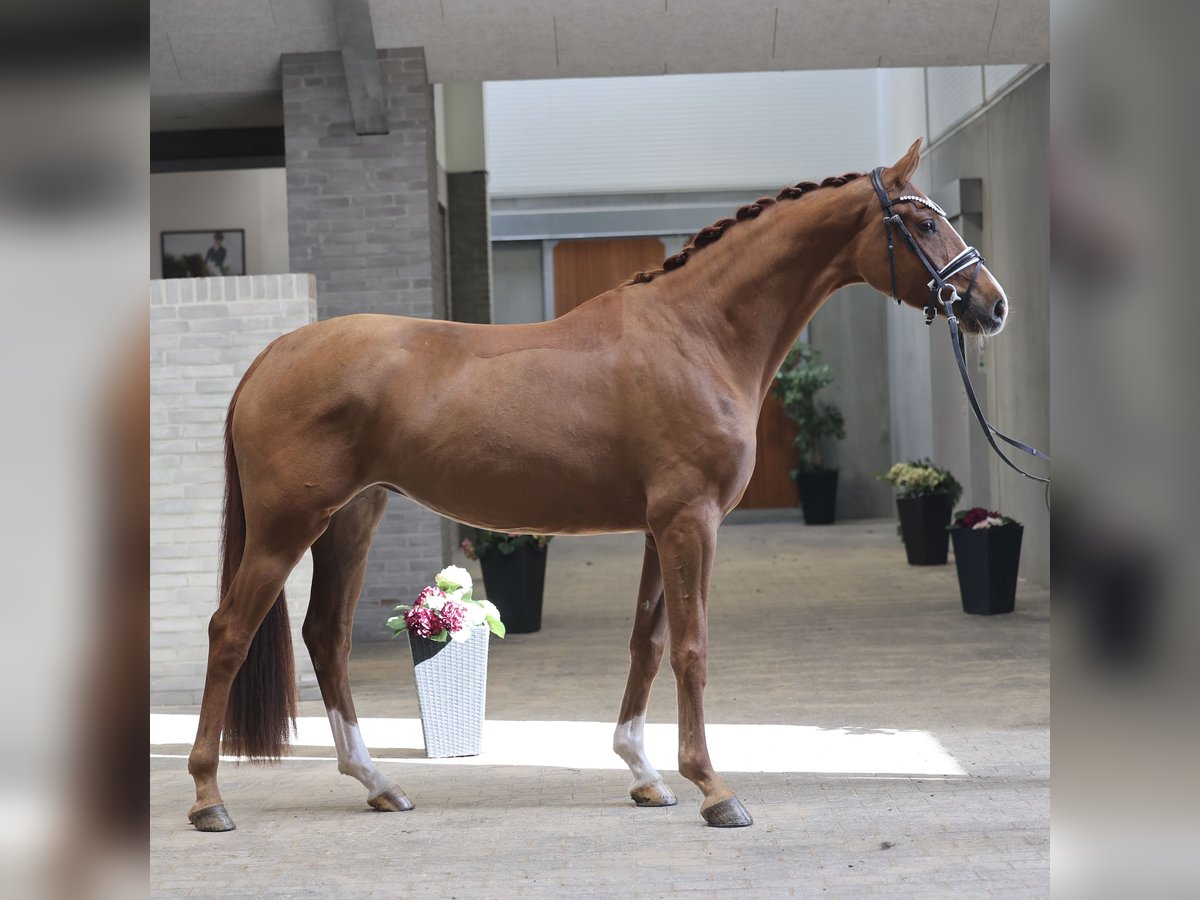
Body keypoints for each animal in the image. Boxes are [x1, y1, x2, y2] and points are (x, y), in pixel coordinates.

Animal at [186, 138, 1011, 831]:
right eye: (923, 222)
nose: (992, 304)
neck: (695, 335)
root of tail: (271, 357)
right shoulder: (691, 522)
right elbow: (692, 648)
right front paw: (715, 788)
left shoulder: (660, 527)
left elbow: (648, 642)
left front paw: (646, 773)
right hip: (289, 526)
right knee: (229, 632)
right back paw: (207, 796)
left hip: (353, 519)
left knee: (326, 636)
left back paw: (380, 784)